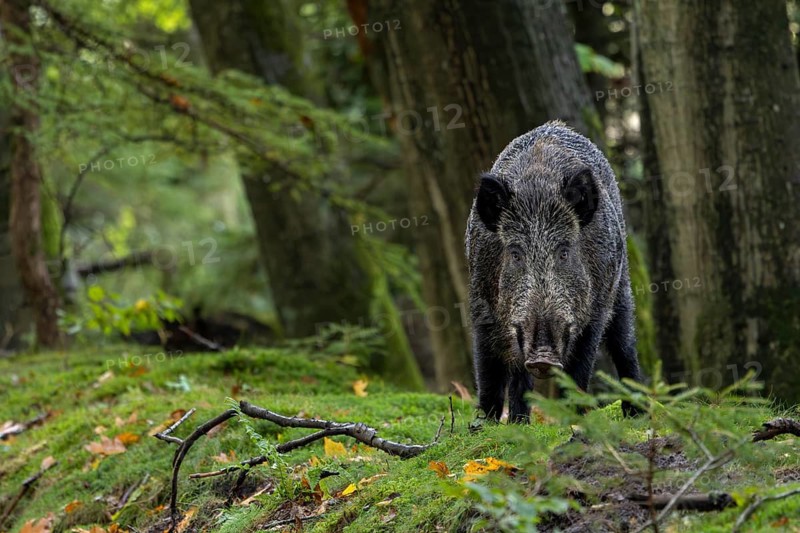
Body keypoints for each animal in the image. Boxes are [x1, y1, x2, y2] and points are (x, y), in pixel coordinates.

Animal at [465, 121, 642, 422]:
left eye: (564, 252)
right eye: (515, 253)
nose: (543, 358)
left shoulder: (593, 314)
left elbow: (580, 369)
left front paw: (575, 421)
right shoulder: (482, 306)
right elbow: (489, 373)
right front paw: (487, 424)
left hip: (620, 287)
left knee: (624, 344)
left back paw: (636, 413)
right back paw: (519, 421)